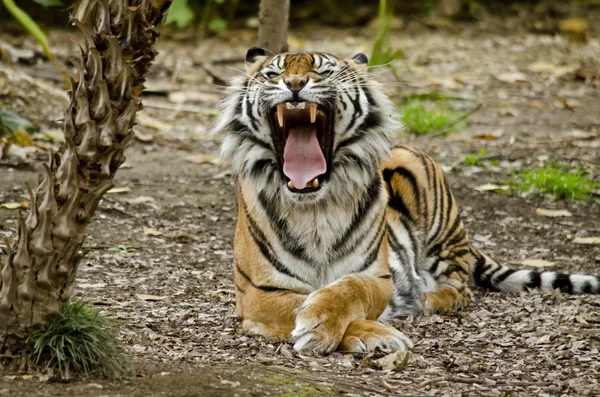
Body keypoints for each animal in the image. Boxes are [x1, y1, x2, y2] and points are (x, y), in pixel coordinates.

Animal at [211, 47, 600, 352]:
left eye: (323, 70)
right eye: (273, 73)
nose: (293, 84)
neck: (314, 207)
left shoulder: (375, 276)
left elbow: (347, 290)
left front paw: (327, 322)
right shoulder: (260, 293)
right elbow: (300, 304)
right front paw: (367, 333)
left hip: (438, 224)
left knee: (460, 288)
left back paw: (423, 299)